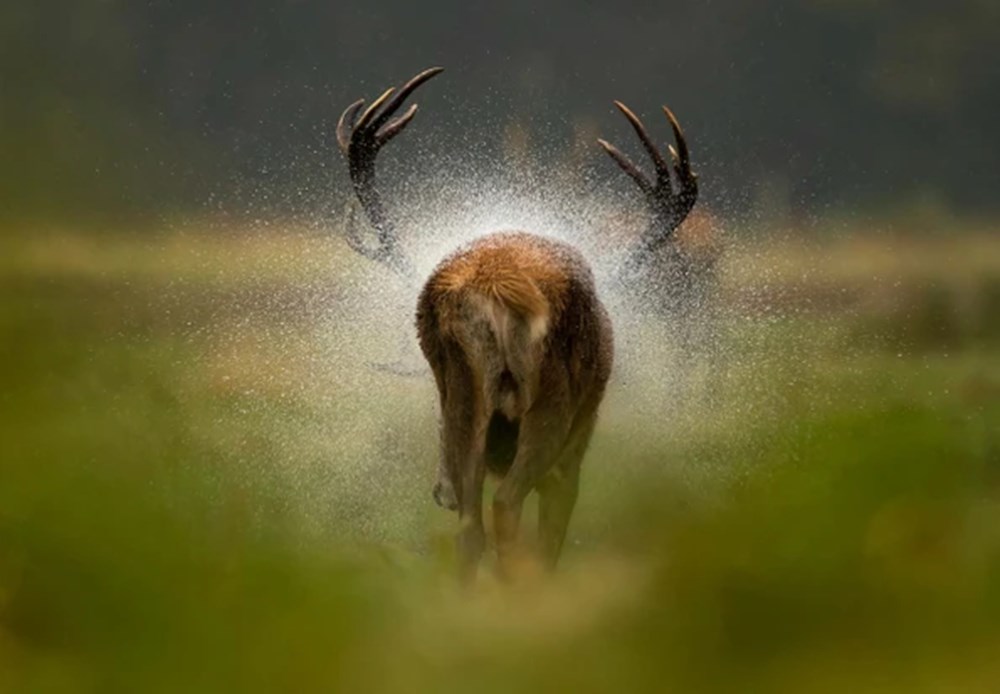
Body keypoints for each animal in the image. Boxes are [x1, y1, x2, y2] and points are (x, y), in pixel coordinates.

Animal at [336, 69, 696, 580]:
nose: (438, 491)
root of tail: (494, 286)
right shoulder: (574, 451)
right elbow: (550, 539)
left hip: (464, 392)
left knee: (470, 528)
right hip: (551, 404)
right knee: (506, 509)